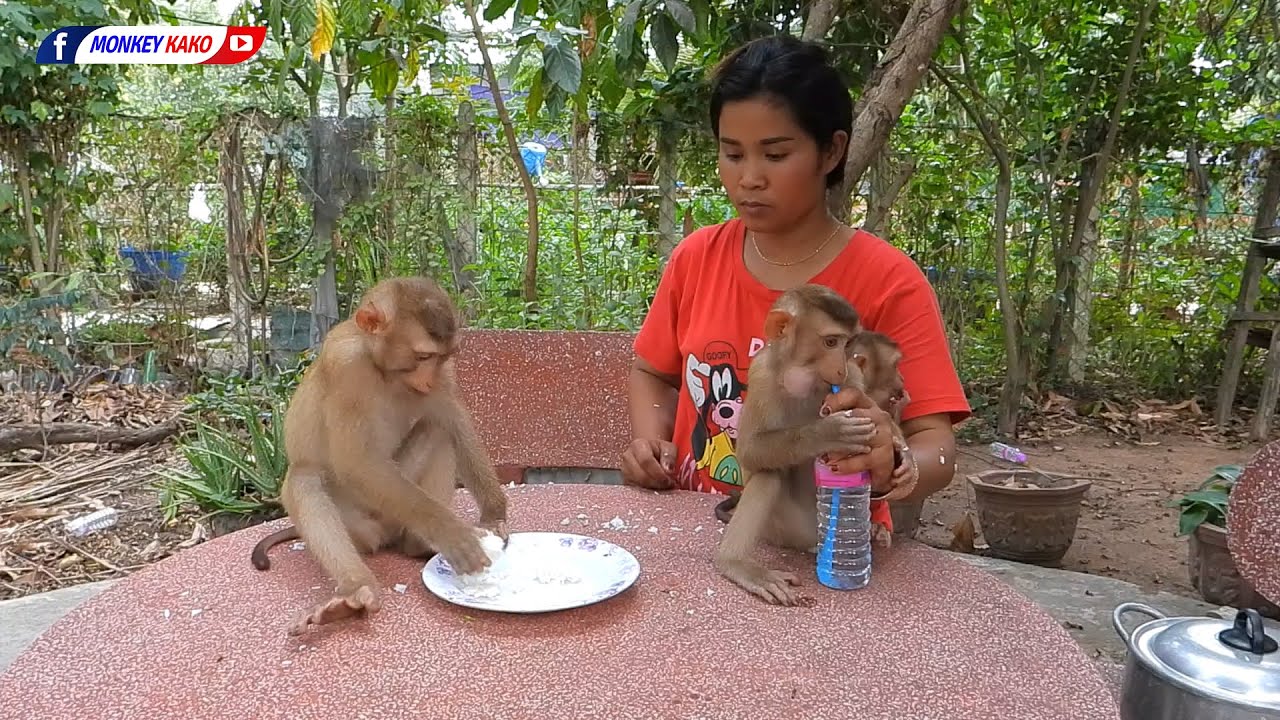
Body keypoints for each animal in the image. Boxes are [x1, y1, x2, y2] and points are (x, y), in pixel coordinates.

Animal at [253, 275, 510, 635]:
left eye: (442, 357)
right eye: (422, 356)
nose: (428, 380)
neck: (382, 370)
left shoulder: (444, 375)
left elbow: (453, 421)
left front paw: (493, 515)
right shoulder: (345, 366)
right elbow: (356, 462)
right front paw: (450, 532)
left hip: (395, 514)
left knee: (438, 431)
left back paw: (417, 544)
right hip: (361, 526)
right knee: (304, 478)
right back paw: (354, 589)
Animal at [713, 284, 885, 606]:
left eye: (847, 344)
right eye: (830, 342)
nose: (841, 369)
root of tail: (810, 541)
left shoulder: (854, 380)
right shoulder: (761, 374)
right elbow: (750, 451)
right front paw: (829, 431)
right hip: (783, 528)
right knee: (768, 475)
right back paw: (736, 563)